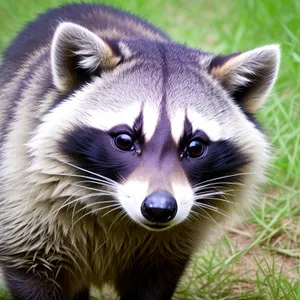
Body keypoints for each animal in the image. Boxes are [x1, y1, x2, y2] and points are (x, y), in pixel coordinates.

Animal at [0, 2, 282, 300]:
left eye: (195, 147)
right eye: (124, 141)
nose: (159, 209)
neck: (118, 210)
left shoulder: (167, 250)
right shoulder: (25, 211)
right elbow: (31, 272)